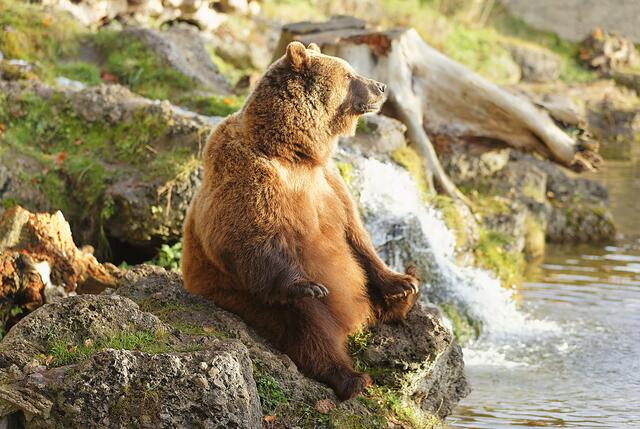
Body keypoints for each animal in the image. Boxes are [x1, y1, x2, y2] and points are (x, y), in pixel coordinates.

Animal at [182, 41, 420, 400]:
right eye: (349, 74)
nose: (381, 87)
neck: (294, 151)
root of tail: (356, 320)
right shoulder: (252, 177)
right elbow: (248, 235)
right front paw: (307, 285)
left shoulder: (330, 184)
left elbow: (356, 236)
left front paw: (402, 282)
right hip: (246, 298)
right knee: (309, 328)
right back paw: (351, 377)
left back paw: (406, 294)